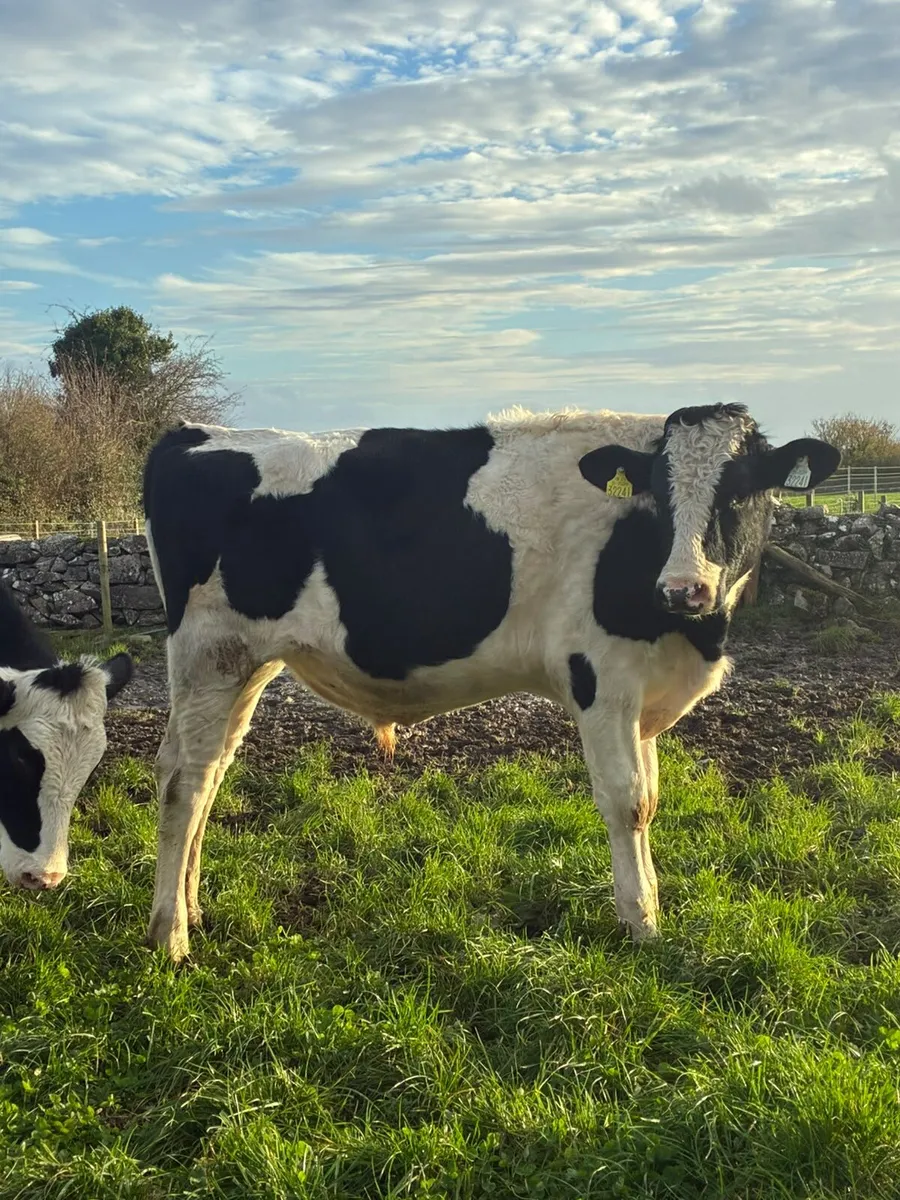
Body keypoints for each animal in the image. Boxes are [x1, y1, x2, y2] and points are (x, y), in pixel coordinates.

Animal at [142, 403, 839, 960]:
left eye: (741, 491)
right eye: (663, 497)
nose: (683, 588)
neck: (690, 636)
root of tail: (193, 433)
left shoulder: (643, 693)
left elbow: (650, 801)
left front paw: (650, 905)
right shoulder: (601, 679)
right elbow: (626, 802)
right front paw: (641, 922)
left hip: (247, 664)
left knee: (211, 770)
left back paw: (194, 909)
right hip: (208, 653)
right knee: (184, 781)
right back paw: (170, 936)